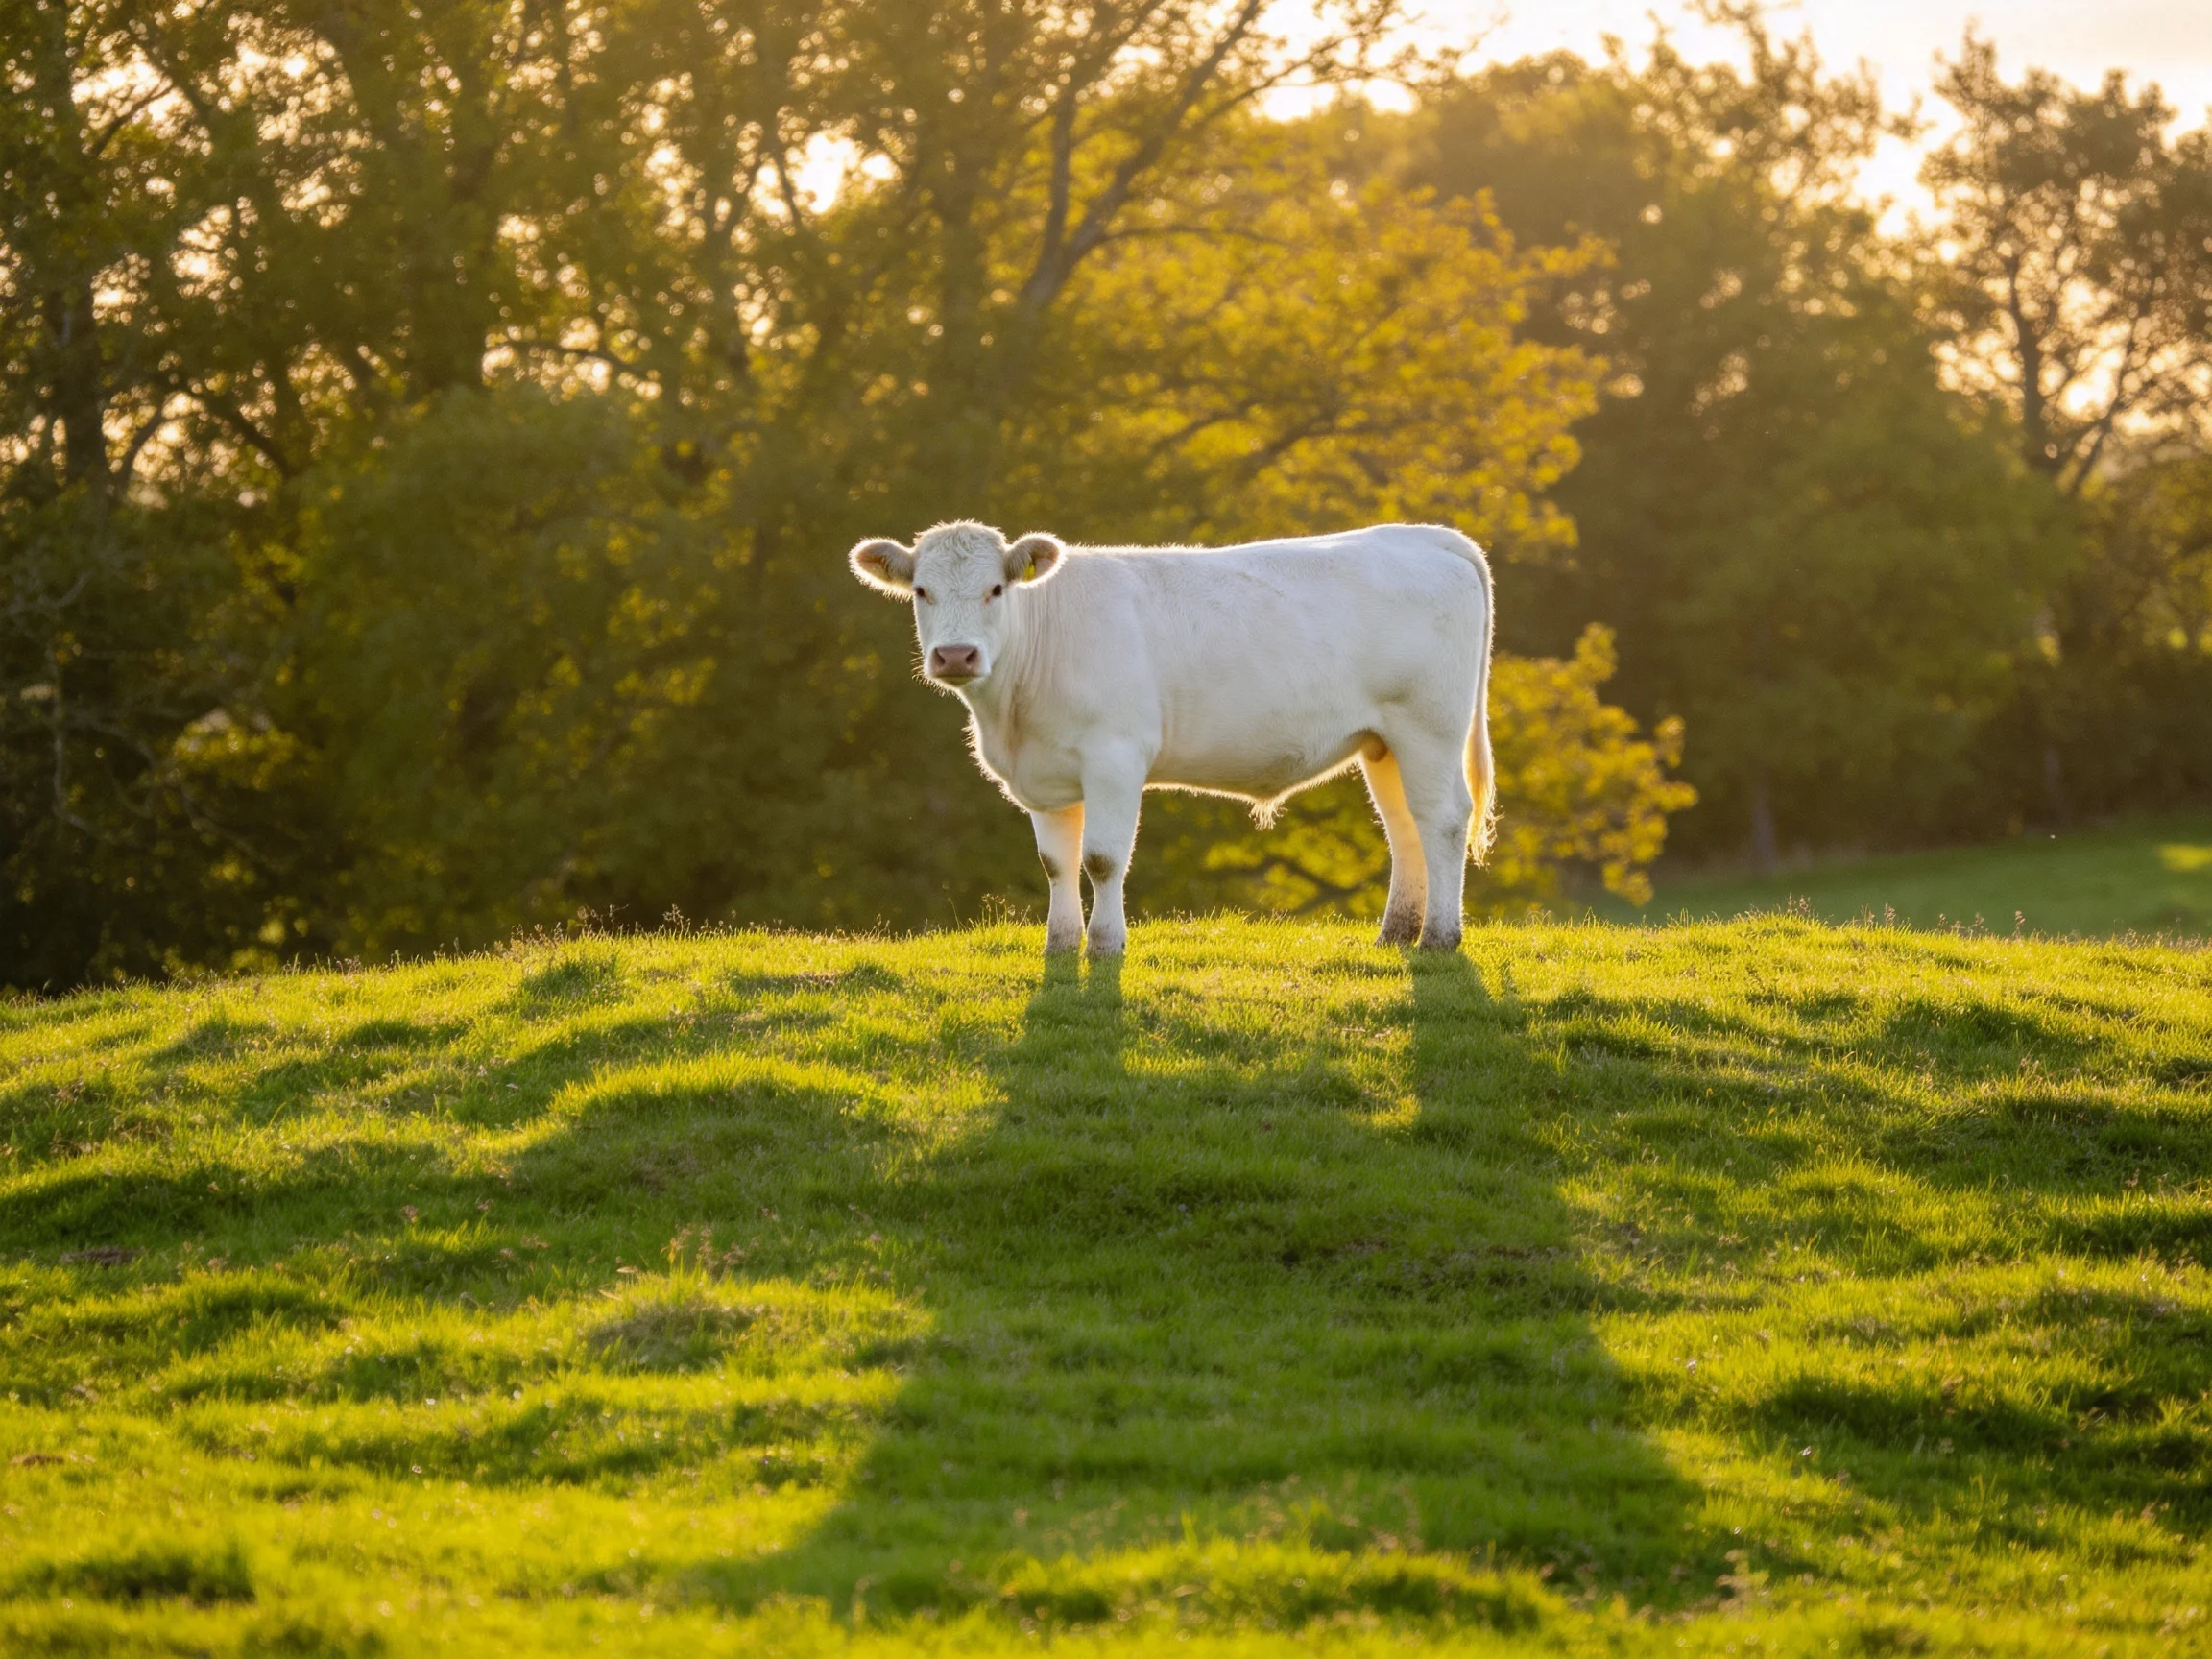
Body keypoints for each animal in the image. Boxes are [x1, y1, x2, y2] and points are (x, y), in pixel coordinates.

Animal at [849, 521, 1495, 955]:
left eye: (997, 590)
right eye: (921, 591)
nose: (956, 655)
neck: (1011, 721)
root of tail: (1424, 536)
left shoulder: (1115, 756)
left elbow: (1102, 858)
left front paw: (1106, 947)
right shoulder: (1045, 775)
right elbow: (1056, 863)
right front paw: (1059, 947)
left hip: (1429, 726)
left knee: (1441, 819)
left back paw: (1439, 938)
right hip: (1383, 742)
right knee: (1404, 826)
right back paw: (1396, 934)